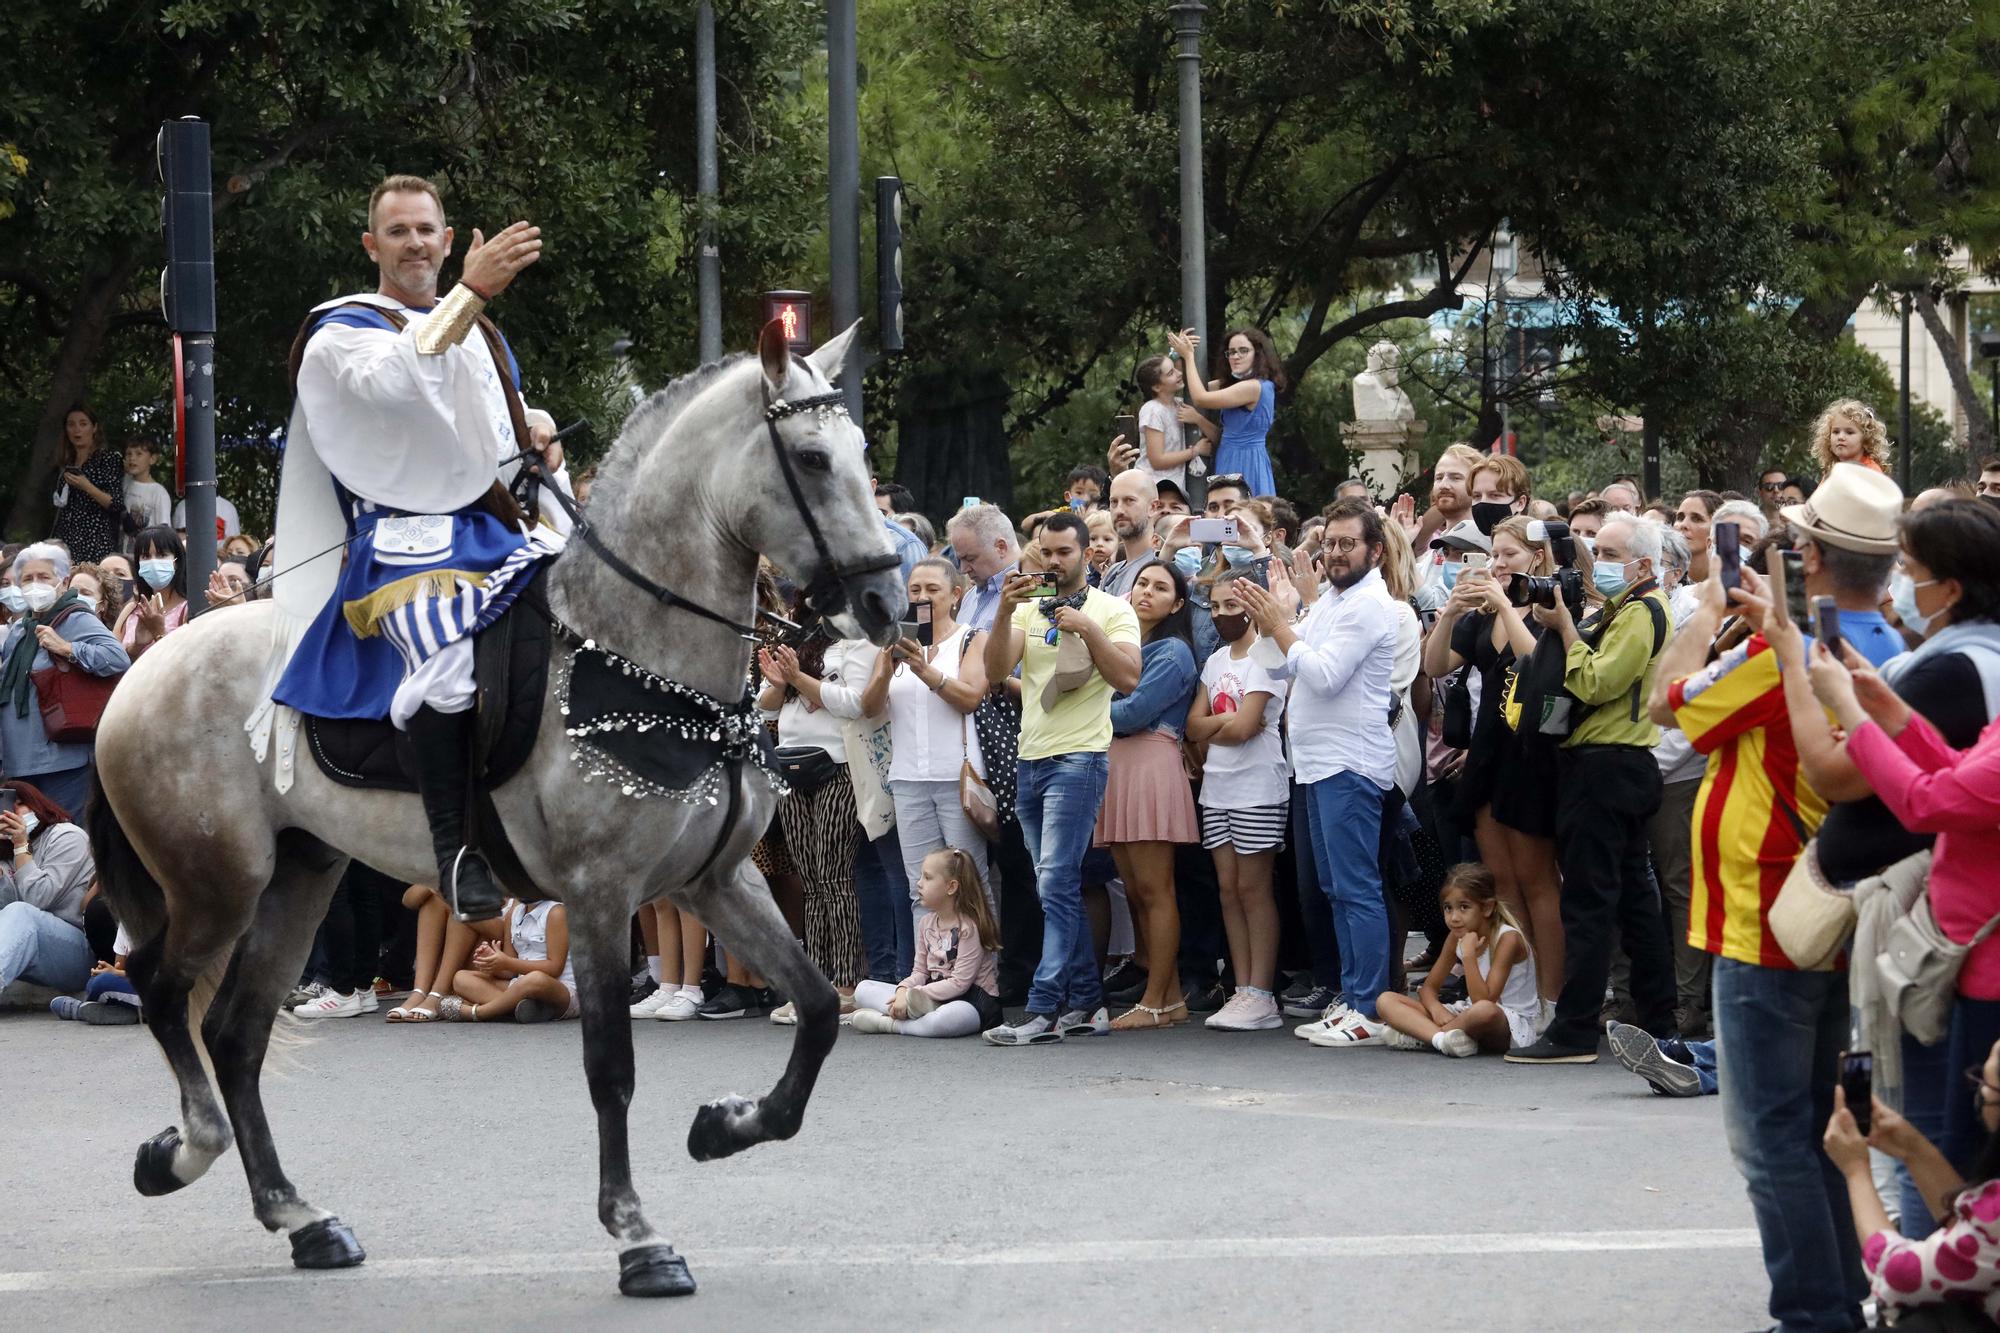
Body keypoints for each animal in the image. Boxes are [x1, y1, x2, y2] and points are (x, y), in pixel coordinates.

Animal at [86, 322, 908, 1296]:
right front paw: (637, 1234)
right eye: (814, 458)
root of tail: (141, 672)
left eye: (862, 453)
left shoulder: (712, 882)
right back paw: (186, 1150)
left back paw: (300, 1216)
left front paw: (725, 1125)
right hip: (219, 882)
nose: (887, 601)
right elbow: (610, 1064)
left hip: (302, 874)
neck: (635, 651)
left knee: (233, 1032)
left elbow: (816, 1006)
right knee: (163, 991)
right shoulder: (602, 891)